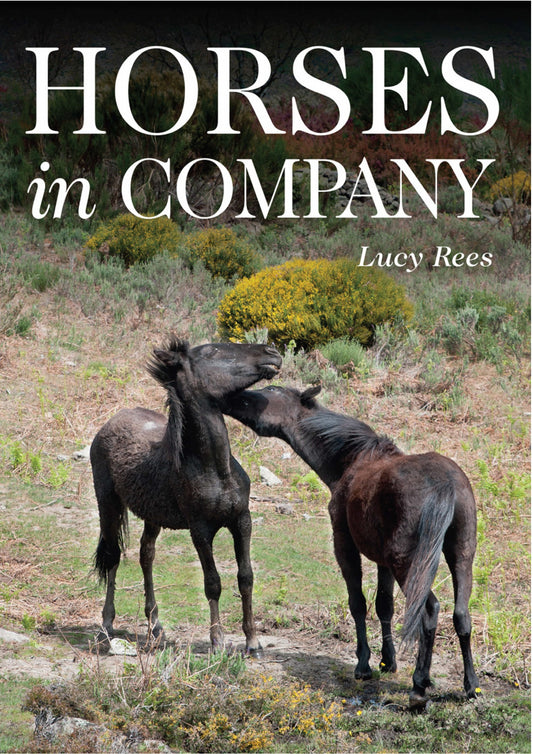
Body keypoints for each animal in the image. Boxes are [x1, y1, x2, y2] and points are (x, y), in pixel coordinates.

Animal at [90, 337, 282, 655]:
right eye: (213, 351)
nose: (272, 352)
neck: (216, 469)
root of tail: (112, 420)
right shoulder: (200, 530)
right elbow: (213, 582)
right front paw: (217, 642)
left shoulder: (242, 521)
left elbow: (246, 577)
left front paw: (252, 642)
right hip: (108, 505)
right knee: (113, 556)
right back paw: (106, 627)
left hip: (152, 516)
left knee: (146, 555)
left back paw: (156, 627)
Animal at [220, 383, 480, 707]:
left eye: (269, 391)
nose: (228, 397)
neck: (352, 459)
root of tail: (444, 483)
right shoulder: (382, 560)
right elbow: (384, 606)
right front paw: (388, 661)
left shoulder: (344, 545)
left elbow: (358, 602)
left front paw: (364, 664)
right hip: (460, 557)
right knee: (461, 615)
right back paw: (470, 685)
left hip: (408, 564)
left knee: (429, 611)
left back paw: (420, 685)